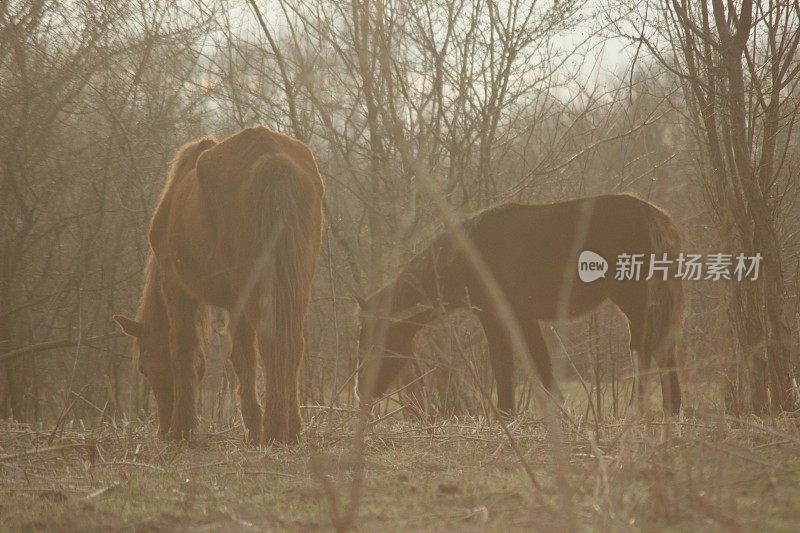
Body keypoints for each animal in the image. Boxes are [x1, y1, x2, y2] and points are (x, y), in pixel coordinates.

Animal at [113, 124, 324, 440]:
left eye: (144, 366)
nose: (162, 428)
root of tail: (271, 157)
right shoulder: (234, 302)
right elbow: (242, 356)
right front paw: (253, 428)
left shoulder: (176, 285)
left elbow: (184, 346)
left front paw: (183, 428)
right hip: (296, 281)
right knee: (290, 341)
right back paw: (289, 429)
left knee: (272, 338)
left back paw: (275, 429)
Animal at [360, 194, 684, 416]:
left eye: (379, 341)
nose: (361, 392)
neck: (467, 255)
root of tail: (655, 215)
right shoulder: (523, 319)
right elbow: (538, 364)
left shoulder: (498, 317)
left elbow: (506, 366)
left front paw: (507, 415)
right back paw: (668, 410)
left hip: (635, 300)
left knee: (650, 347)